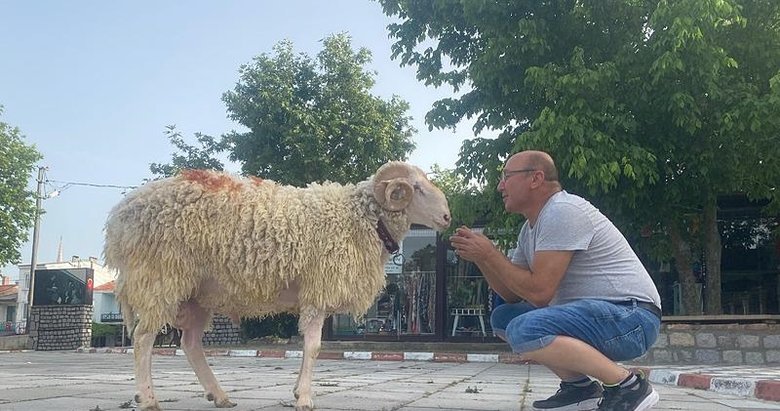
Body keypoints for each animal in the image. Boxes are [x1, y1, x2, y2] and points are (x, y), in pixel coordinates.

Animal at [103, 161, 450, 411]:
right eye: (416, 188)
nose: (447, 217)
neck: (359, 218)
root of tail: (120, 217)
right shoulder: (317, 291)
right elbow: (313, 347)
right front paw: (305, 398)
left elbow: (309, 347)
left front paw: (298, 391)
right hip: (161, 278)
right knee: (143, 338)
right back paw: (148, 399)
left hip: (196, 294)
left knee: (189, 343)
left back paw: (220, 396)